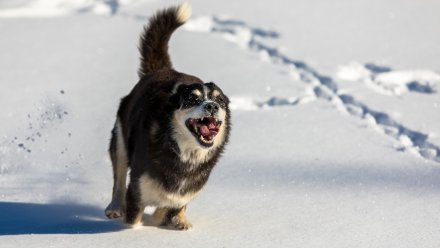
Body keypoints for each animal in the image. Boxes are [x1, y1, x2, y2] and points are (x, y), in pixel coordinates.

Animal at [105, 2, 232, 231]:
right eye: (192, 99)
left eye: (220, 101)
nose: (212, 106)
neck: (185, 154)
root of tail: (161, 70)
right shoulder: (137, 191)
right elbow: (134, 219)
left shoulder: (184, 192)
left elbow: (169, 206)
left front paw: (171, 220)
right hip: (120, 140)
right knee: (118, 178)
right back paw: (115, 206)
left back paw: (180, 220)